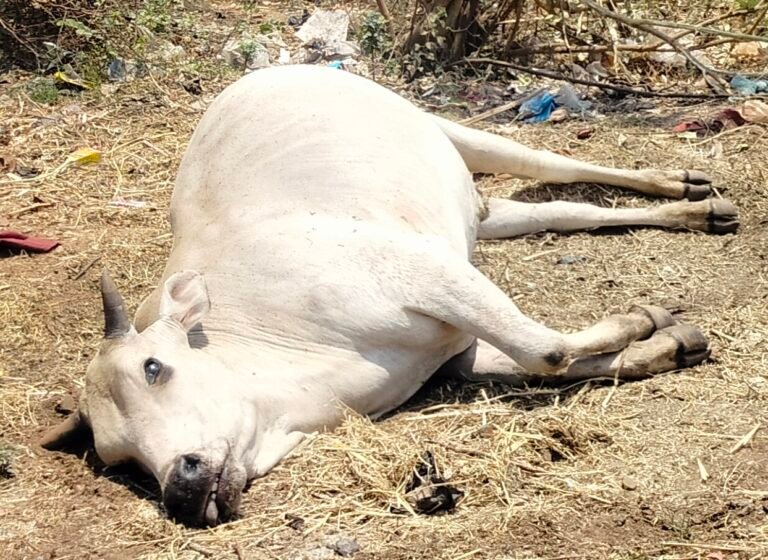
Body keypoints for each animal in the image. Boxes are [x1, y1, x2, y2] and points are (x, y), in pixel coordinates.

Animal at [40, 65, 738, 527]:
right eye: (120, 456)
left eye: (154, 367)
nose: (180, 487)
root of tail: (268, 70)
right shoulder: (455, 350)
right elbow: (547, 362)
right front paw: (666, 341)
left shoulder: (421, 271)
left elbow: (545, 350)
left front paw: (641, 319)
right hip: (481, 213)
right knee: (565, 211)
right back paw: (696, 210)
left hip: (449, 130)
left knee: (555, 166)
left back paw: (684, 182)